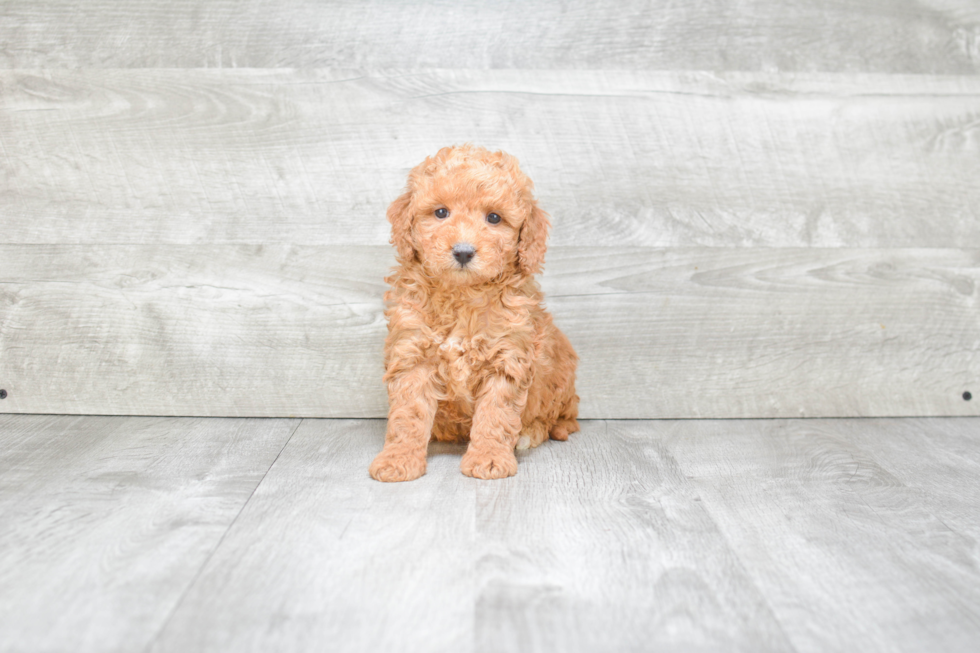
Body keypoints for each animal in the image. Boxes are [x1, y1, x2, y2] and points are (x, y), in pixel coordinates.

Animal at [370, 145, 580, 482]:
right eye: (441, 213)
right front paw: (398, 458)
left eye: (494, 218)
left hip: (560, 377)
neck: (462, 295)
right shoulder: (413, 354)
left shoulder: (507, 358)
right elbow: (408, 414)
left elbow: (496, 413)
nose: (464, 251)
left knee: (555, 421)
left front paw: (489, 458)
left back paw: (529, 434)